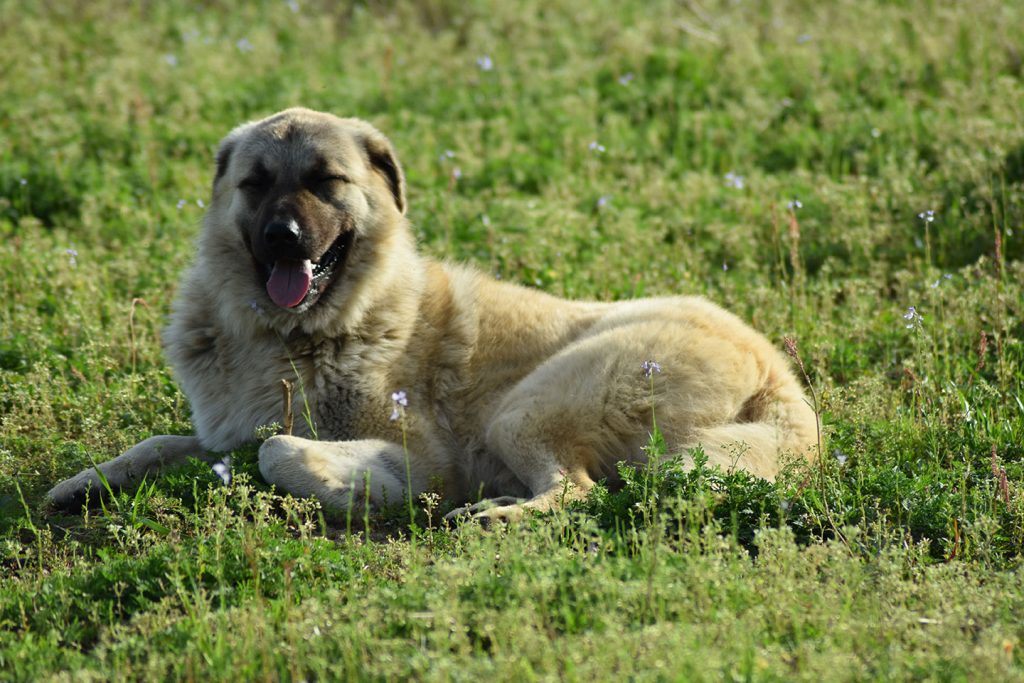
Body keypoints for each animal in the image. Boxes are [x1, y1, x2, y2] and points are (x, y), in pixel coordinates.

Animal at [46, 107, 815, 524]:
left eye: (326, 181)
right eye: (255, 184)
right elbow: (161, 443)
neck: (300, 333)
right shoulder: (220, 431)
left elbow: (278, 451)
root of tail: (775, 375)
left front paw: (360, 491)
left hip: (526, 408)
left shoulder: (428, 453)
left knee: (577, 492)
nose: (283, 238)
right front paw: (84, 483)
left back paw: (493, 519)